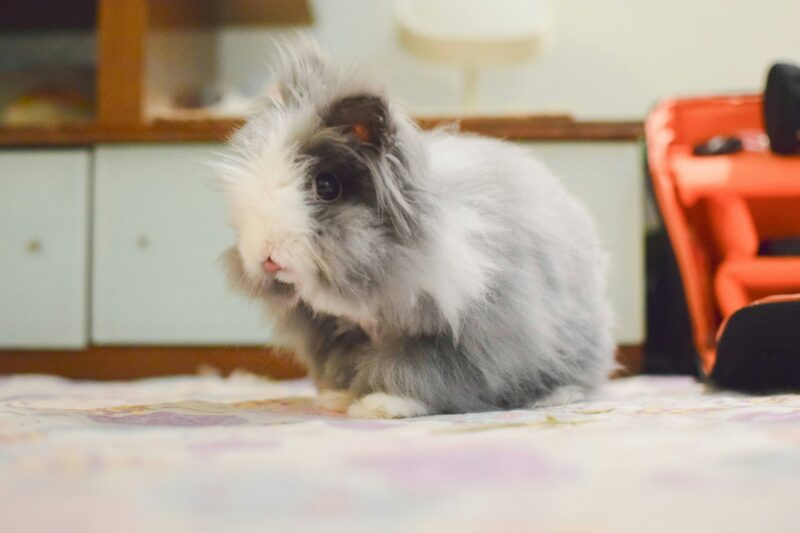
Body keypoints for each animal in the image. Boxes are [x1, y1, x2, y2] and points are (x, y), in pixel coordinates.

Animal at [217, 39, 615, 418]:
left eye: (326, 187)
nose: (265, 253)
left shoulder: (455, 340)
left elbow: (412, 372)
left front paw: (382, 405)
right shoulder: (339, 334)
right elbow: (348, 367)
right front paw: (337, 399)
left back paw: (553, 398)